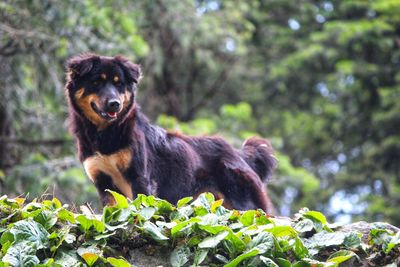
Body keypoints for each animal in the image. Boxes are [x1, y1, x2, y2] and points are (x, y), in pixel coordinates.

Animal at [65, 54, 278, 214]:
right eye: (96, 82)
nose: (114, 104)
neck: (105, 133)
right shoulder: (104, 183)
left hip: (244, 204)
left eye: (119, 84)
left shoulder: (140, 178)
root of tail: (239, 154)